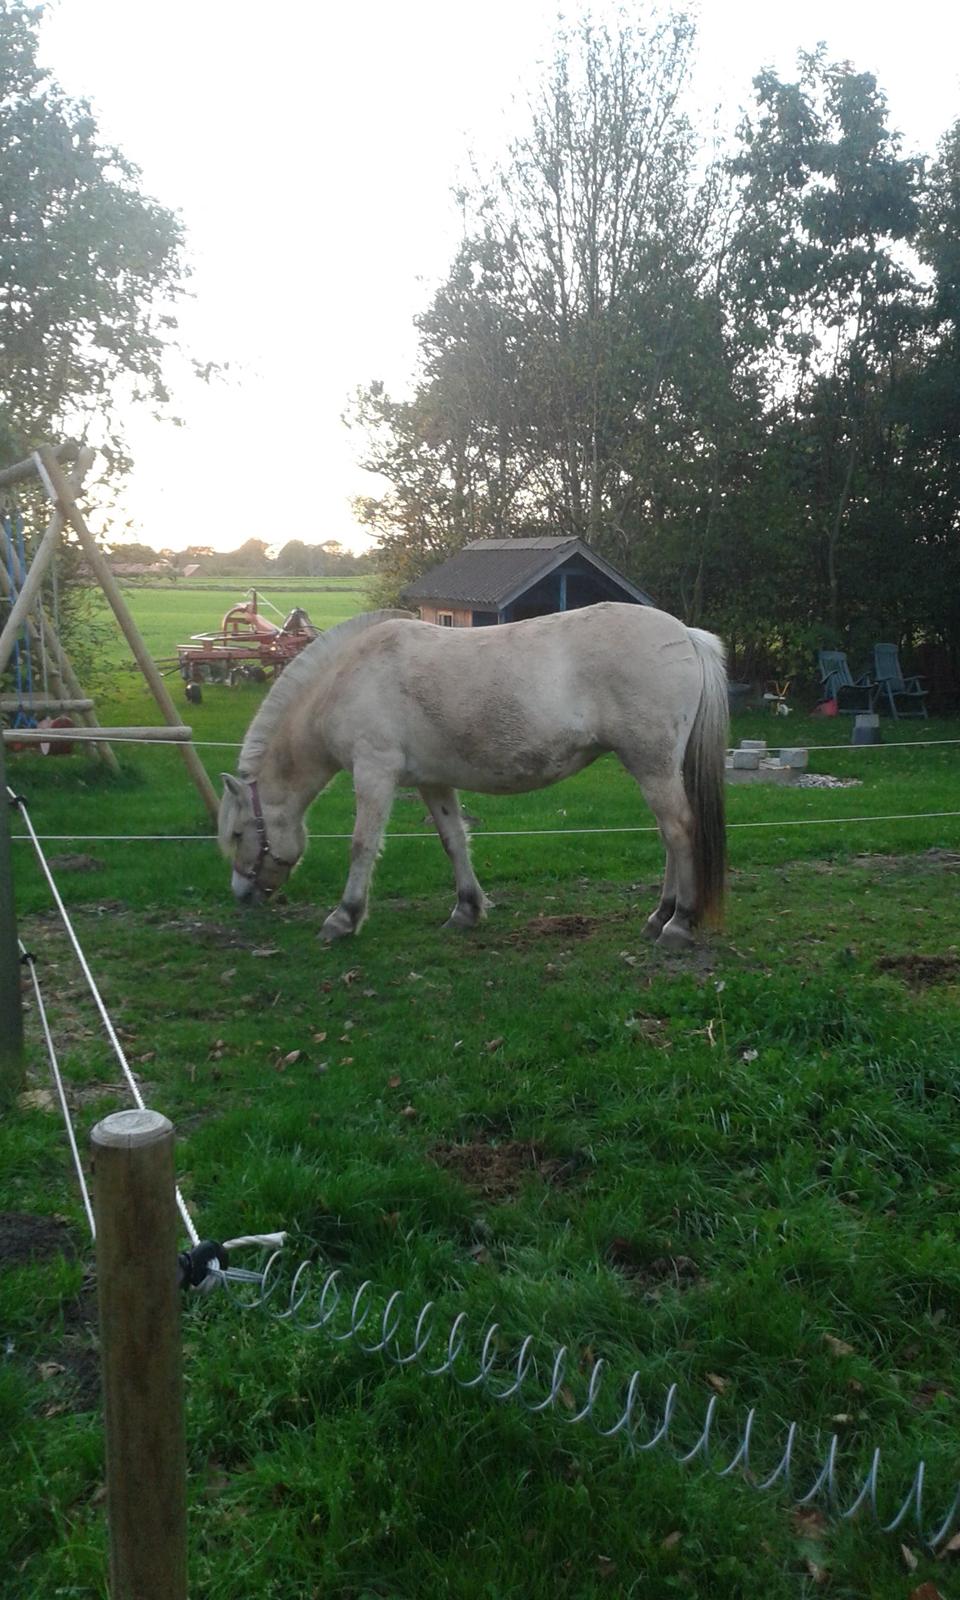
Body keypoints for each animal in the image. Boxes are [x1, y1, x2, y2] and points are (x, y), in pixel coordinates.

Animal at [217, 601, 726, 947]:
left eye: (239, 833)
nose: (241, 895)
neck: (348, 678)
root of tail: (685, 634)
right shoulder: (432, 781)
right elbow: (454, 840)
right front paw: (466, 908)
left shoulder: (374, 772)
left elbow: (362, 846)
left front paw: (344, 917)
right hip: (655, 768)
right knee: (669, 836)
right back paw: (659, 916)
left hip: (651, 766)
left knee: (679, 831)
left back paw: (679, 922)